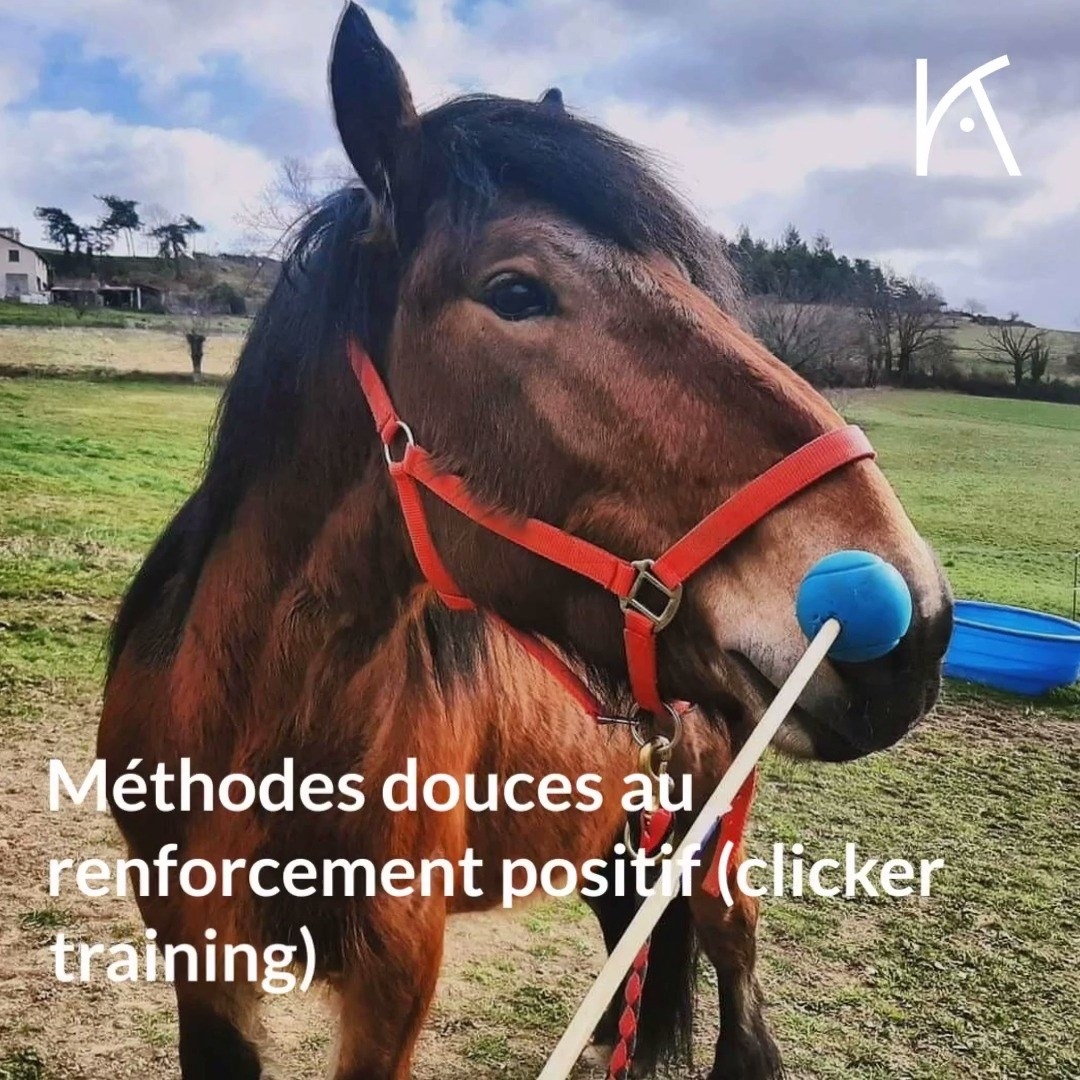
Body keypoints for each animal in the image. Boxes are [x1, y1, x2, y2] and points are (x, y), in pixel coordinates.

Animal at [98, 6, 953, 1078]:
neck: (251, 730)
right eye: (514, 292)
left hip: (709, 847)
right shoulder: (201, 970)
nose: (913, 619)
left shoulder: (392, 985)